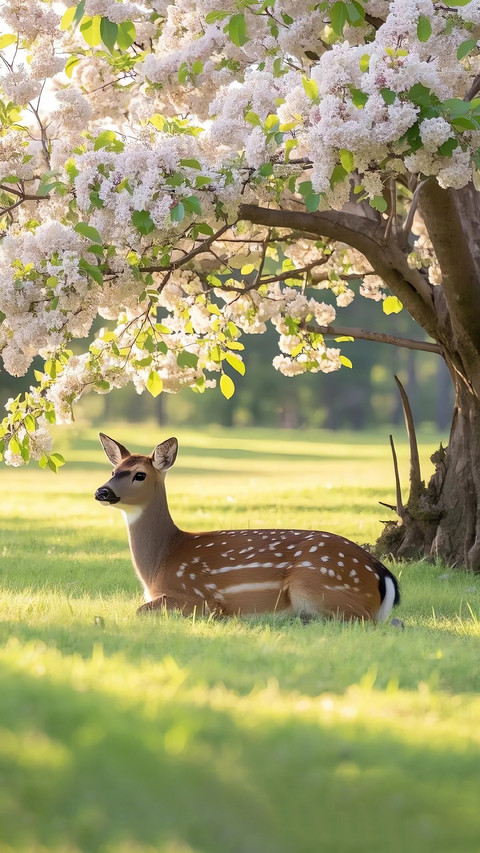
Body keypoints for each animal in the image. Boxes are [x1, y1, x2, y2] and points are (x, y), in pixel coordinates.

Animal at [95, 433, 400, 622]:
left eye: (140, 475)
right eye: (113, 471)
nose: (102, 491)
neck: (158, 566)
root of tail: (382, 574)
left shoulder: (200, 597)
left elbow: (140, 610)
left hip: (313, 584)